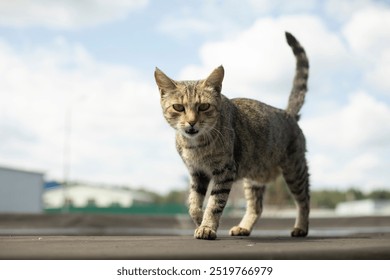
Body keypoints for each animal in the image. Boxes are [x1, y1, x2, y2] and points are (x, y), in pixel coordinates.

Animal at [154, 31, 310, 240]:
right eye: (178, 107)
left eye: (204, 106)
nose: (192, 122)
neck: (195, 145)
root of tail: (288, 113)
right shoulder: (197, 173)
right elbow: (193, 204)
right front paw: (200, 220)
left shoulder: (225, 171)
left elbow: (214, 204)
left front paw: (207, 227)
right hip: (254, 178)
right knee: (256, 207)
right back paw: (243, 227)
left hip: (294, 170)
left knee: (304, 199)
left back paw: (301, 227)